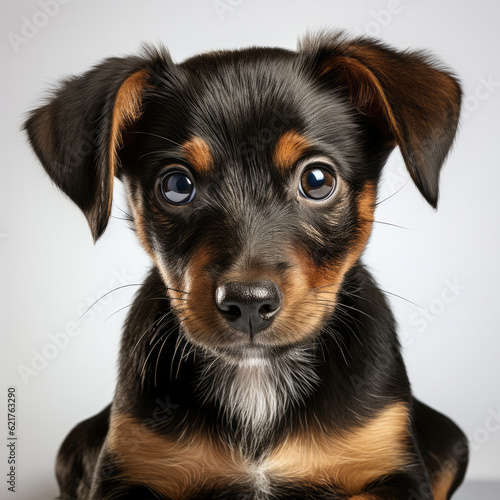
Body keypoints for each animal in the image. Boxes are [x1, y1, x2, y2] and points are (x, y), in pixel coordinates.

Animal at [23, 32, 468, 500]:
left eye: (317, 180)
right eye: (177, 186)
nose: (249, 303)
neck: (256, 377)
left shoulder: (394, 468)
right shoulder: (127, 468)